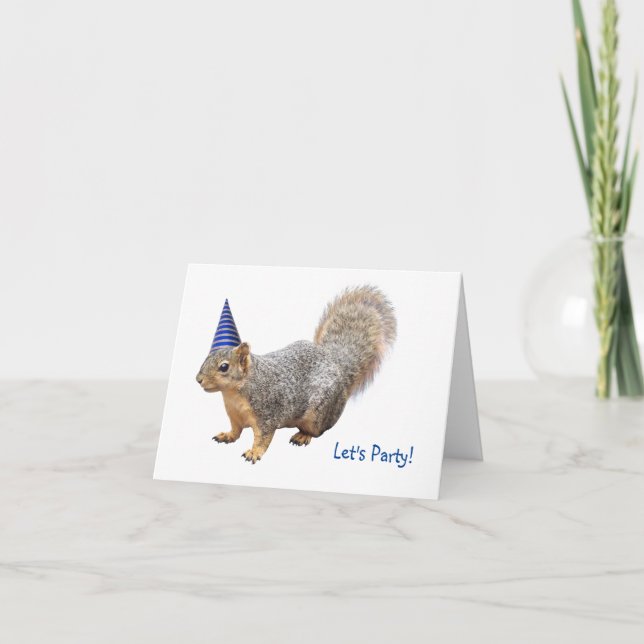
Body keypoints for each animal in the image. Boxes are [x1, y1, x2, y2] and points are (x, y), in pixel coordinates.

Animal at [196, 285, 396, 463]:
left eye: (224, 367)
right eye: (206, 357)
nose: (198, 380)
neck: (234, 394)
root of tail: (336, 365)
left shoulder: (267, 414)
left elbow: (263, 438)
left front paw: (254, 453)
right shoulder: (234, 415)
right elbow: (236, 430)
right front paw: (227, 435)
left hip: (318, 413)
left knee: (318, 430)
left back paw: (303, 436)